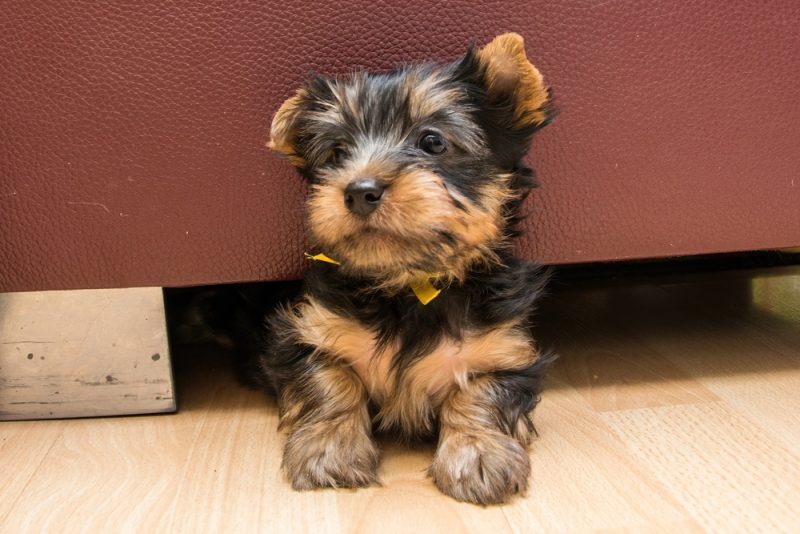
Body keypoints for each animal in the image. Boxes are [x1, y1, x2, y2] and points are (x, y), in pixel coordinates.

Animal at [258, 33, 556, 506]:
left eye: (432, 142)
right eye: (337, 153)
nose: (359, 191)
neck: (409, 281)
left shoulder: (505, 349)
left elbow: (483, 390)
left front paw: (478, 454)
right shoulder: (304, 333)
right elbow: (328, 378)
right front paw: (330, 449)